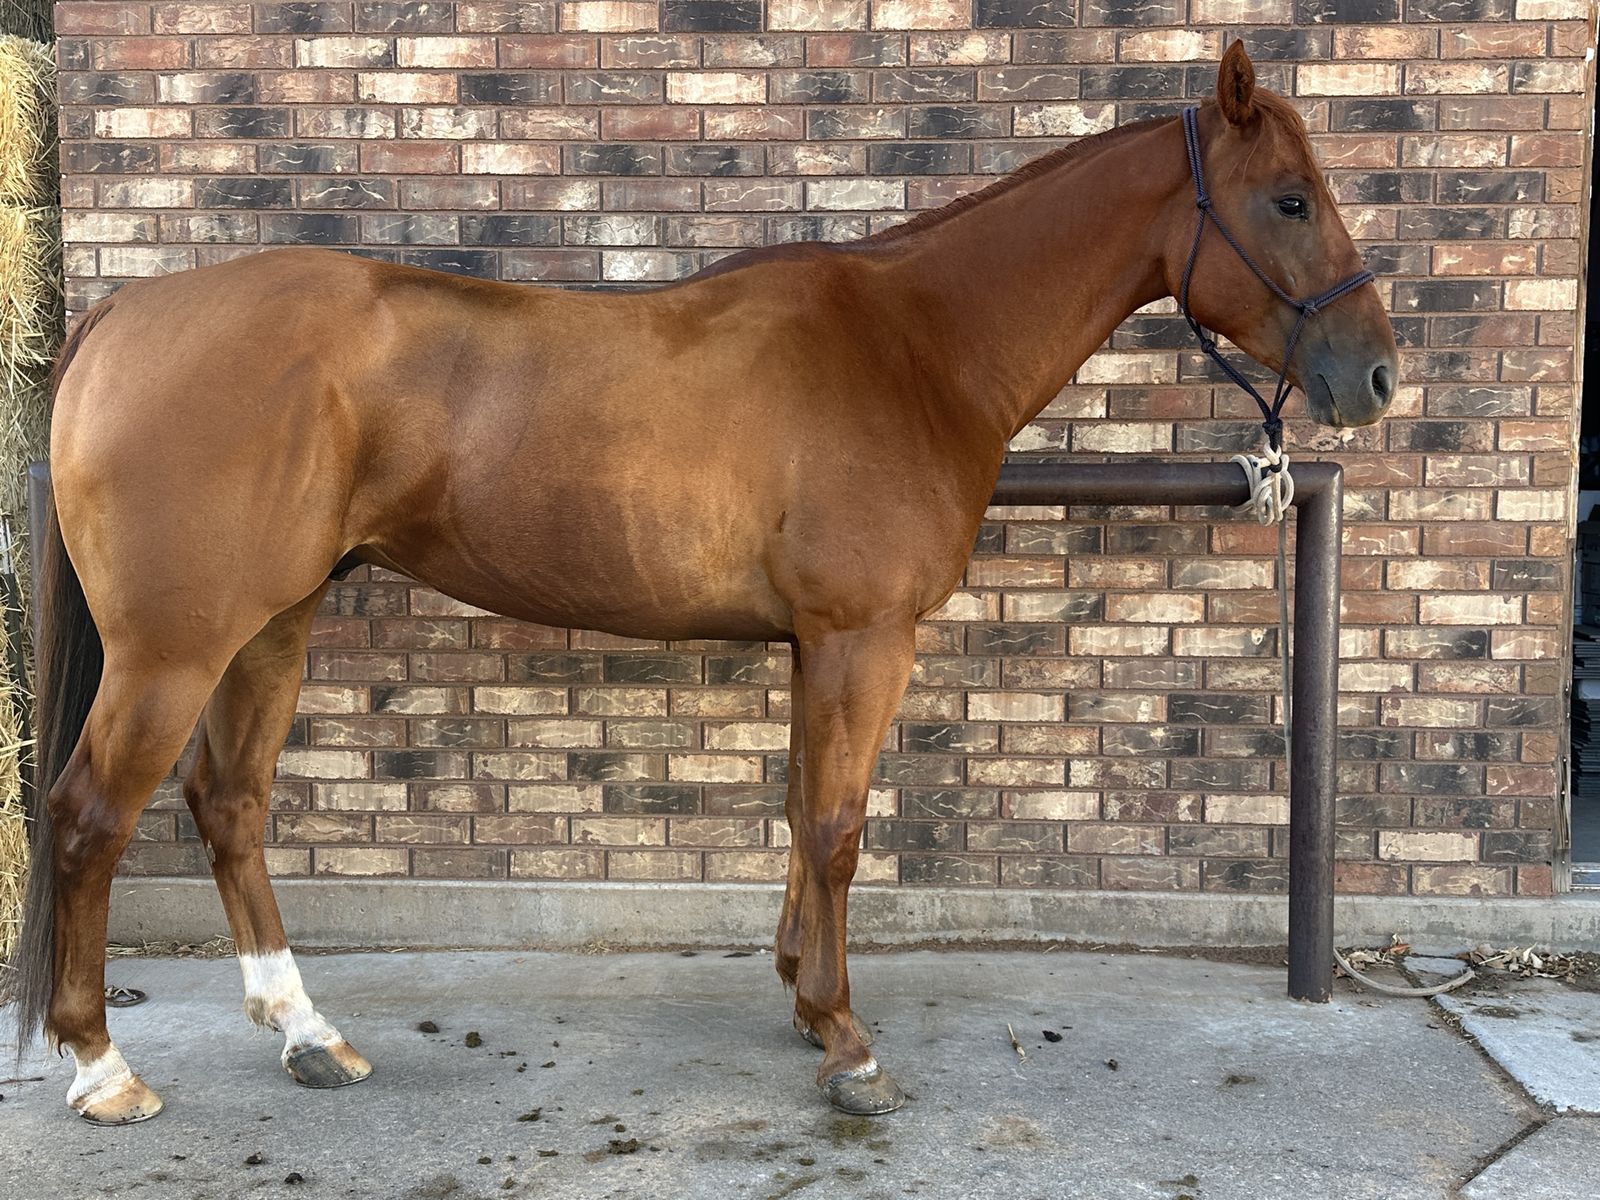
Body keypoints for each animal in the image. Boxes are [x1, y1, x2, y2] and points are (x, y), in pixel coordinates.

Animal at [7, 44, 1396, 1124]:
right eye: (1287, 201)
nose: (1374, 376)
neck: (914, 345)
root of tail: (128, 313)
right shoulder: (861, 636)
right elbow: (835, 826)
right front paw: (847, 1043)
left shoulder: (816, 642)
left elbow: (799, 811)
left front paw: (799, 999)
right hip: (174, 648)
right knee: (86, 818)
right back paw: (102, 1067)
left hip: (271, 624)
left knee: (229, 803)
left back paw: (306, 1034)